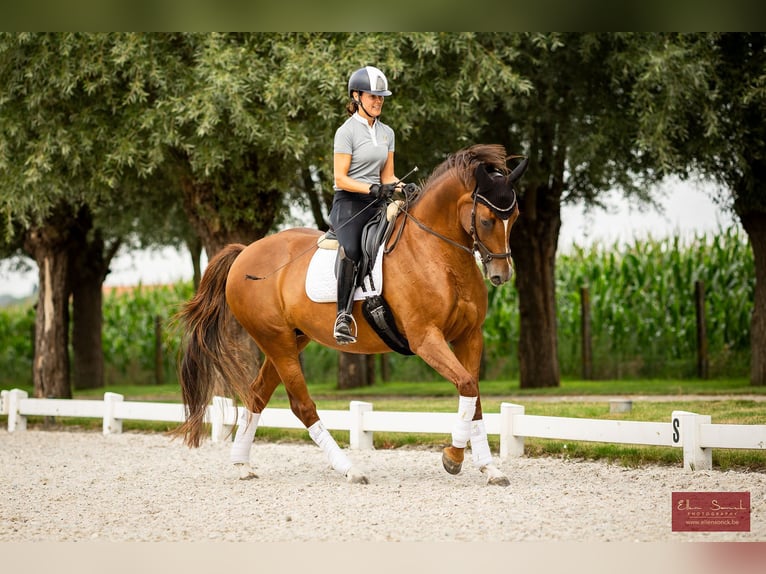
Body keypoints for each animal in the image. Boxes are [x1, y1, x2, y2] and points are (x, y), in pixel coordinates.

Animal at [174, 143, 528, 486]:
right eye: (487, 220)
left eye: (515, 217)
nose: (501, 275)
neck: (437, 253)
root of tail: (244, 253)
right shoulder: (426, 338)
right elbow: (467, 385)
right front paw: (452, 458)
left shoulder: (470, 336)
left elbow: (474, 394)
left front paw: (490, 469)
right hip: (276, 341)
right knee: (302, 406)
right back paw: (350, 469)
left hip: (289, 340)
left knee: (257, 394)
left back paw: (242, 464)